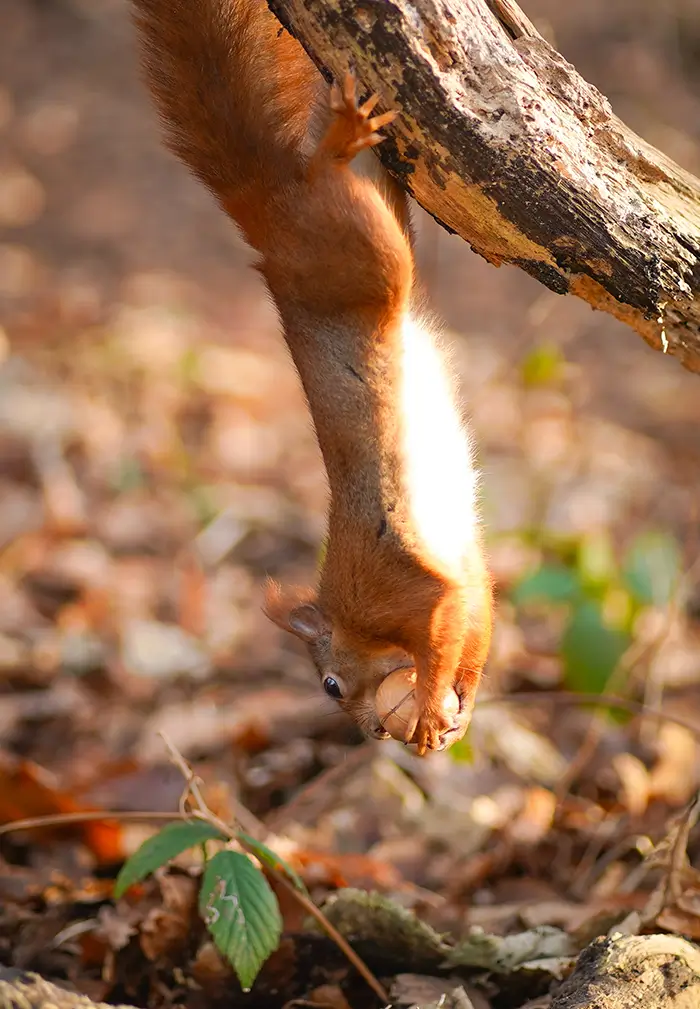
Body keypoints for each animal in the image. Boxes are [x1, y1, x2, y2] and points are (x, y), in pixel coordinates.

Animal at [130, 0, 493, 755]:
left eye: (328, 683)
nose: (370, 732)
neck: (352, 620)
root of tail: (265, 213)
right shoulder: (468, 576)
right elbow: (479, 625)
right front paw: (459, 706)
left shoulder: (408, 591)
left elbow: (444, 634)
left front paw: (428, 708)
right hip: (379, 217)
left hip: (356, 250)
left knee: (327, 179)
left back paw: (339, 137)